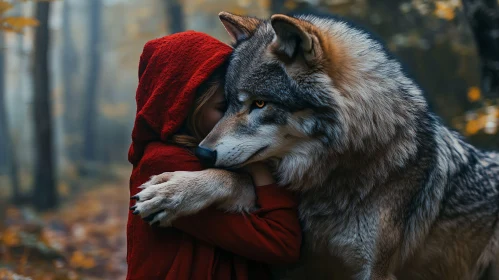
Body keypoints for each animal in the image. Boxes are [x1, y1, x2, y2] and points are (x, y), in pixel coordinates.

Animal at [133, 11, 499, 280]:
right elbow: (234, 178)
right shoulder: (291, 250)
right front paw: (173, 190)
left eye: (260, 104)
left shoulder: (374, 270)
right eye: (227, 103)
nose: (202, 153)